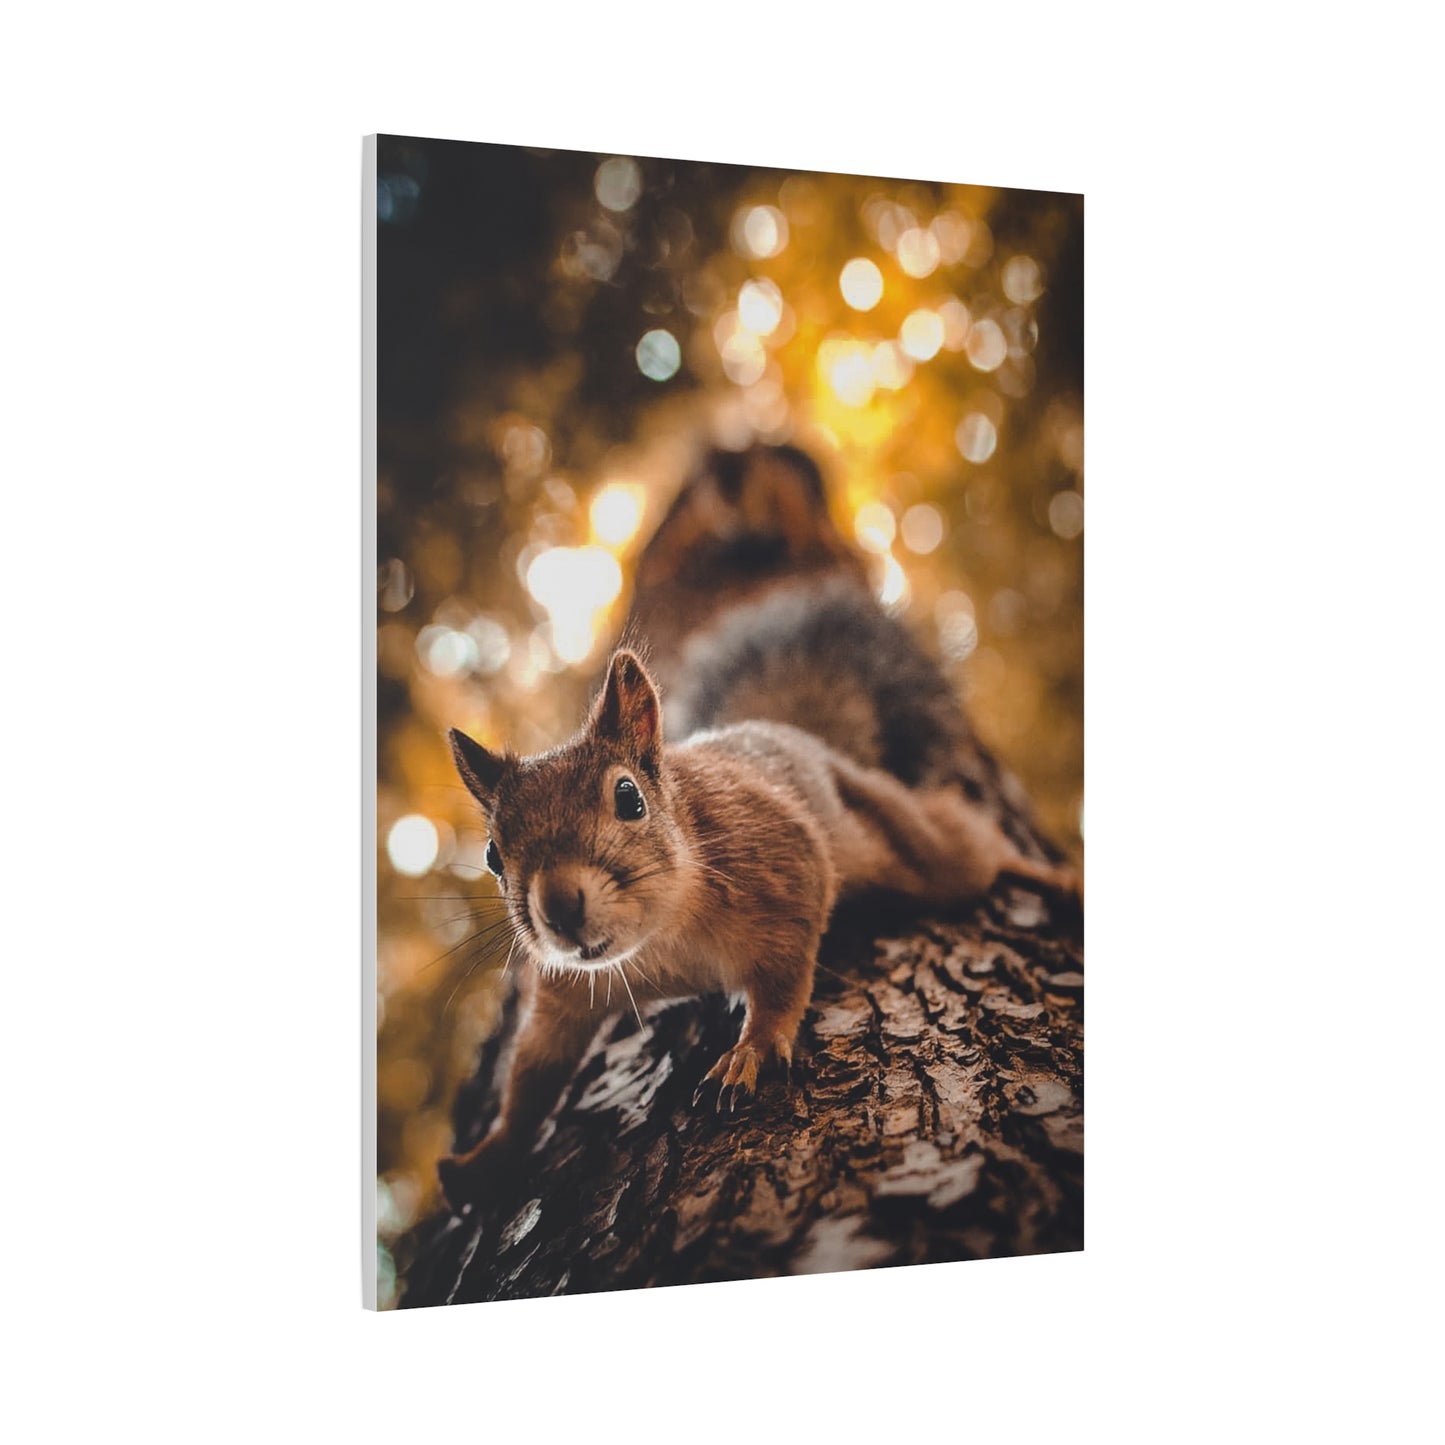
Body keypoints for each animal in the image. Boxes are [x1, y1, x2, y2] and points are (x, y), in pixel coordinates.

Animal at [437, 645, 1078, 1207]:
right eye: (493, 854)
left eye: (629, 798)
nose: (559, 909)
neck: (659, 942)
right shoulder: (569, 987)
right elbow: (535, 1070)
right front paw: (487, 1158)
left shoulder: (784, 869)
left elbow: (782, 979)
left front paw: (753, 1047)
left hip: (919, 850)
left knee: (975, 846)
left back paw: (1053, 877)